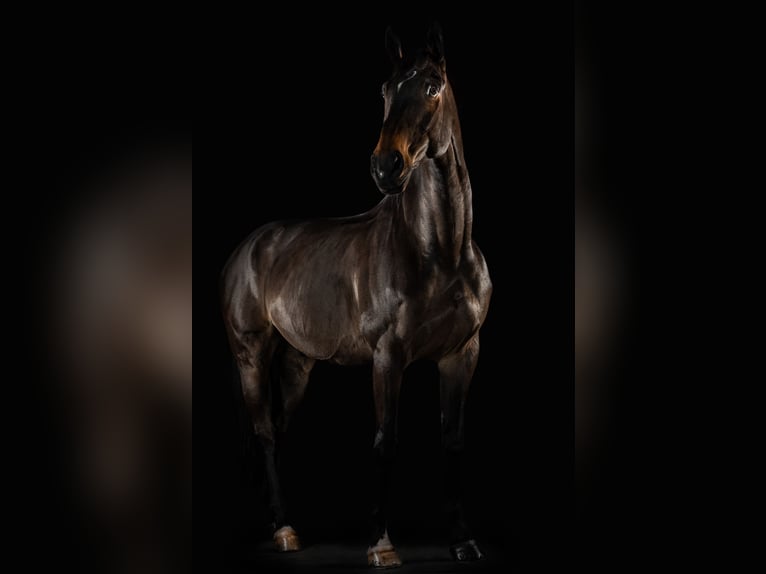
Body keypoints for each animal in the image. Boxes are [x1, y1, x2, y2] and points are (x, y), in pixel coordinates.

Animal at [221, 23, 492, 568]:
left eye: (432, 86)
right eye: (385, 89)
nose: (386, 166)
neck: (440, 252)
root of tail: (247, 249)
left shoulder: (462, 353)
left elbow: (453, 439)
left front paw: (462, 539)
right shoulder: (388, 357)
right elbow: (385, 442)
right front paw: (381, 544)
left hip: (297, 364)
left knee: (277, 428)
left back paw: (280, 523)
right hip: (251, 357)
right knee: (264, 433)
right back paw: (285, 532)